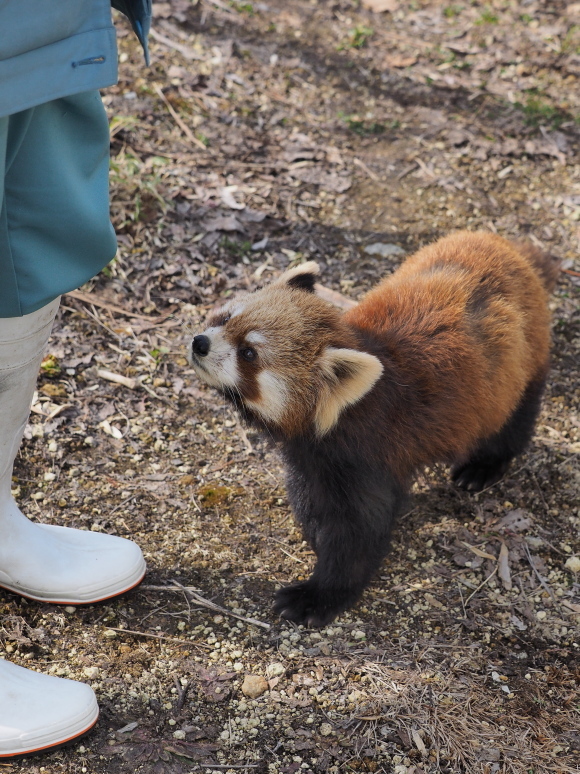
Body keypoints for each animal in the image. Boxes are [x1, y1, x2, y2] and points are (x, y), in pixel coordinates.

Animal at [187, 232, 556, 632]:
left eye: (249, 353)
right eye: (225, 317)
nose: (200, 343)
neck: (345, 412)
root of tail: (503, 245)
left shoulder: (369, 455)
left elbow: (357, 534)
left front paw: (318, 596)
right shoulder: (312, 459)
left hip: (519, 368)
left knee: (513, 420)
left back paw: (483, 467)